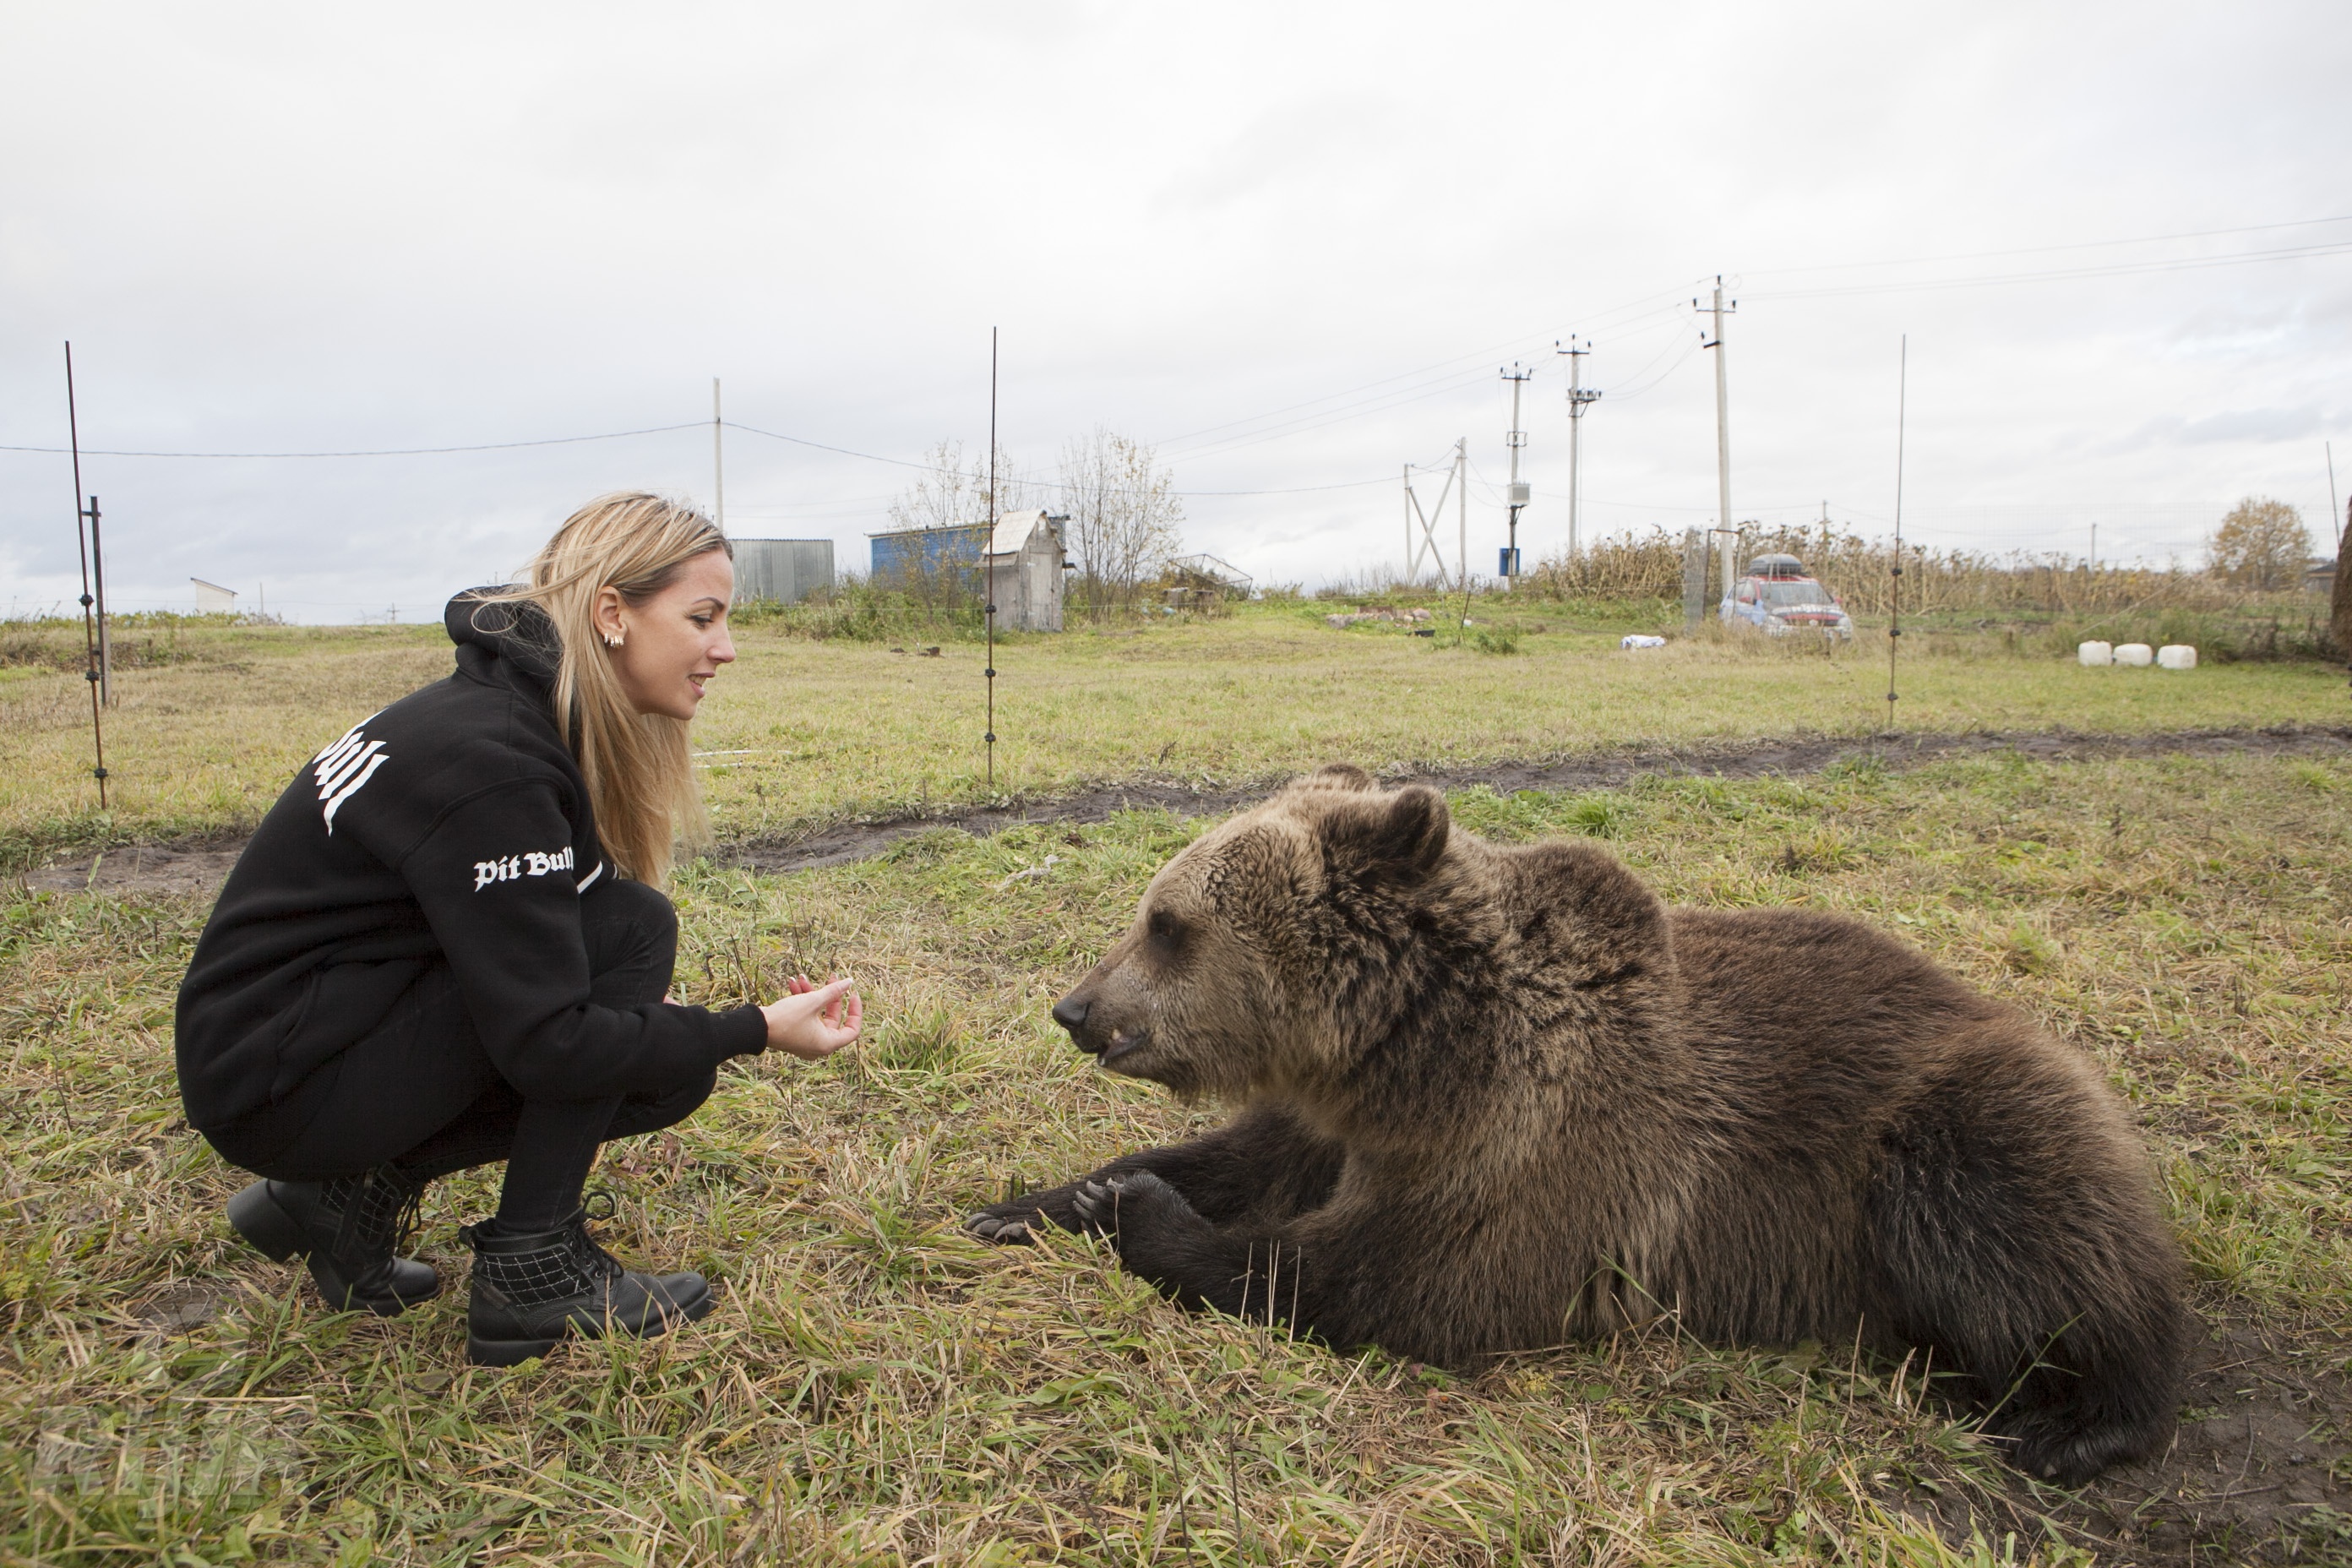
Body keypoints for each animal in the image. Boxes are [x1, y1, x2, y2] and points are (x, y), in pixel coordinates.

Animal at [969, 766, 2182, 1494]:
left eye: (1167, 924)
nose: (1076, 1009)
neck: (1415, 1052)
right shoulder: (1340, 1117)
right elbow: (1239, 1160)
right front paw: (1042, 1201)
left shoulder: (1544, 1149)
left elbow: (1399, 1278)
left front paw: (1147, 1215)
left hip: (1949, 1123)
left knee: (2021, 1226)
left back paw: (2080, 1421)